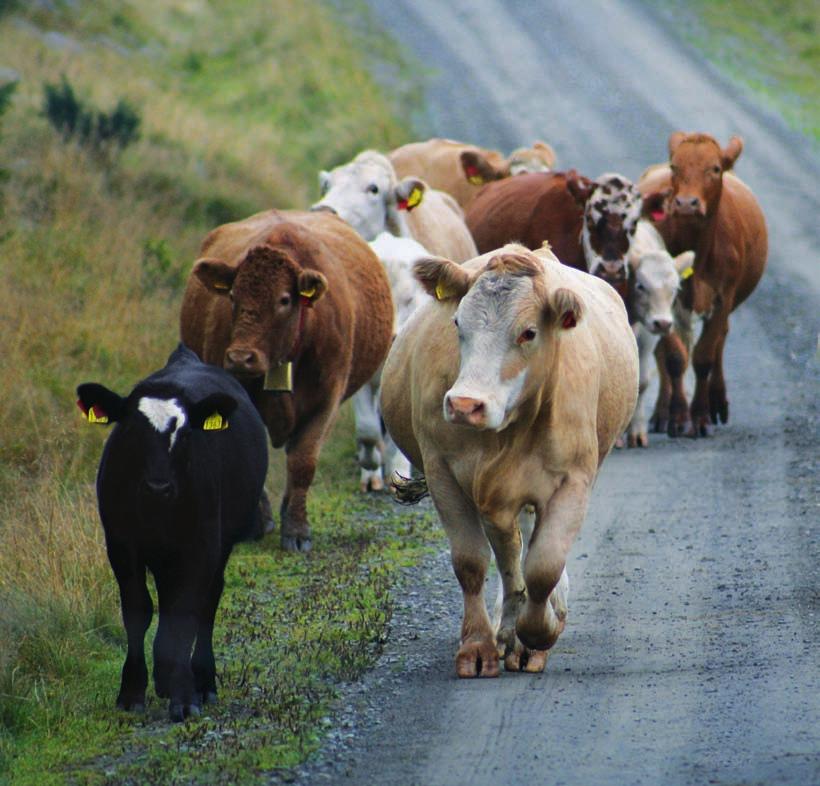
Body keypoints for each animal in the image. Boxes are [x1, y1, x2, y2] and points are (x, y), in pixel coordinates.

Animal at [179, 211, 394, 548]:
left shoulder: (326, 400)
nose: (240, 357)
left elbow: (303, 463)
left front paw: (296, 529)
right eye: (232, 295)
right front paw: (259, 522)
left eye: (284, 300)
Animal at [382, 243, 636, 672]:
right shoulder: (444, 473)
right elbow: (472, 562)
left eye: (529, 332)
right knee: (509, 554)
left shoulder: (572, 481)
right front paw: (478, 646)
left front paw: (537, 634)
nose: (465, 405)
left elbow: (544, 566)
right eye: (457, 323)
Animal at [628, 220, 692, 444]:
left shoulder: (648, 337)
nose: (663, 323)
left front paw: (636, 432)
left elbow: (642, 382)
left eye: (676, 288)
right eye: (640, 285)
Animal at [640, 130, 768, 434]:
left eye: (715, 168)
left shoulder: (723, 298)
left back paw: (717, 404)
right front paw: (678, 416)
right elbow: (674, 358)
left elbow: (704, 356)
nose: (687, 203)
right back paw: (661, 414)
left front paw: (699, 416)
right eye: (675, 167)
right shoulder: (662, 299)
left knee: (720, 340)